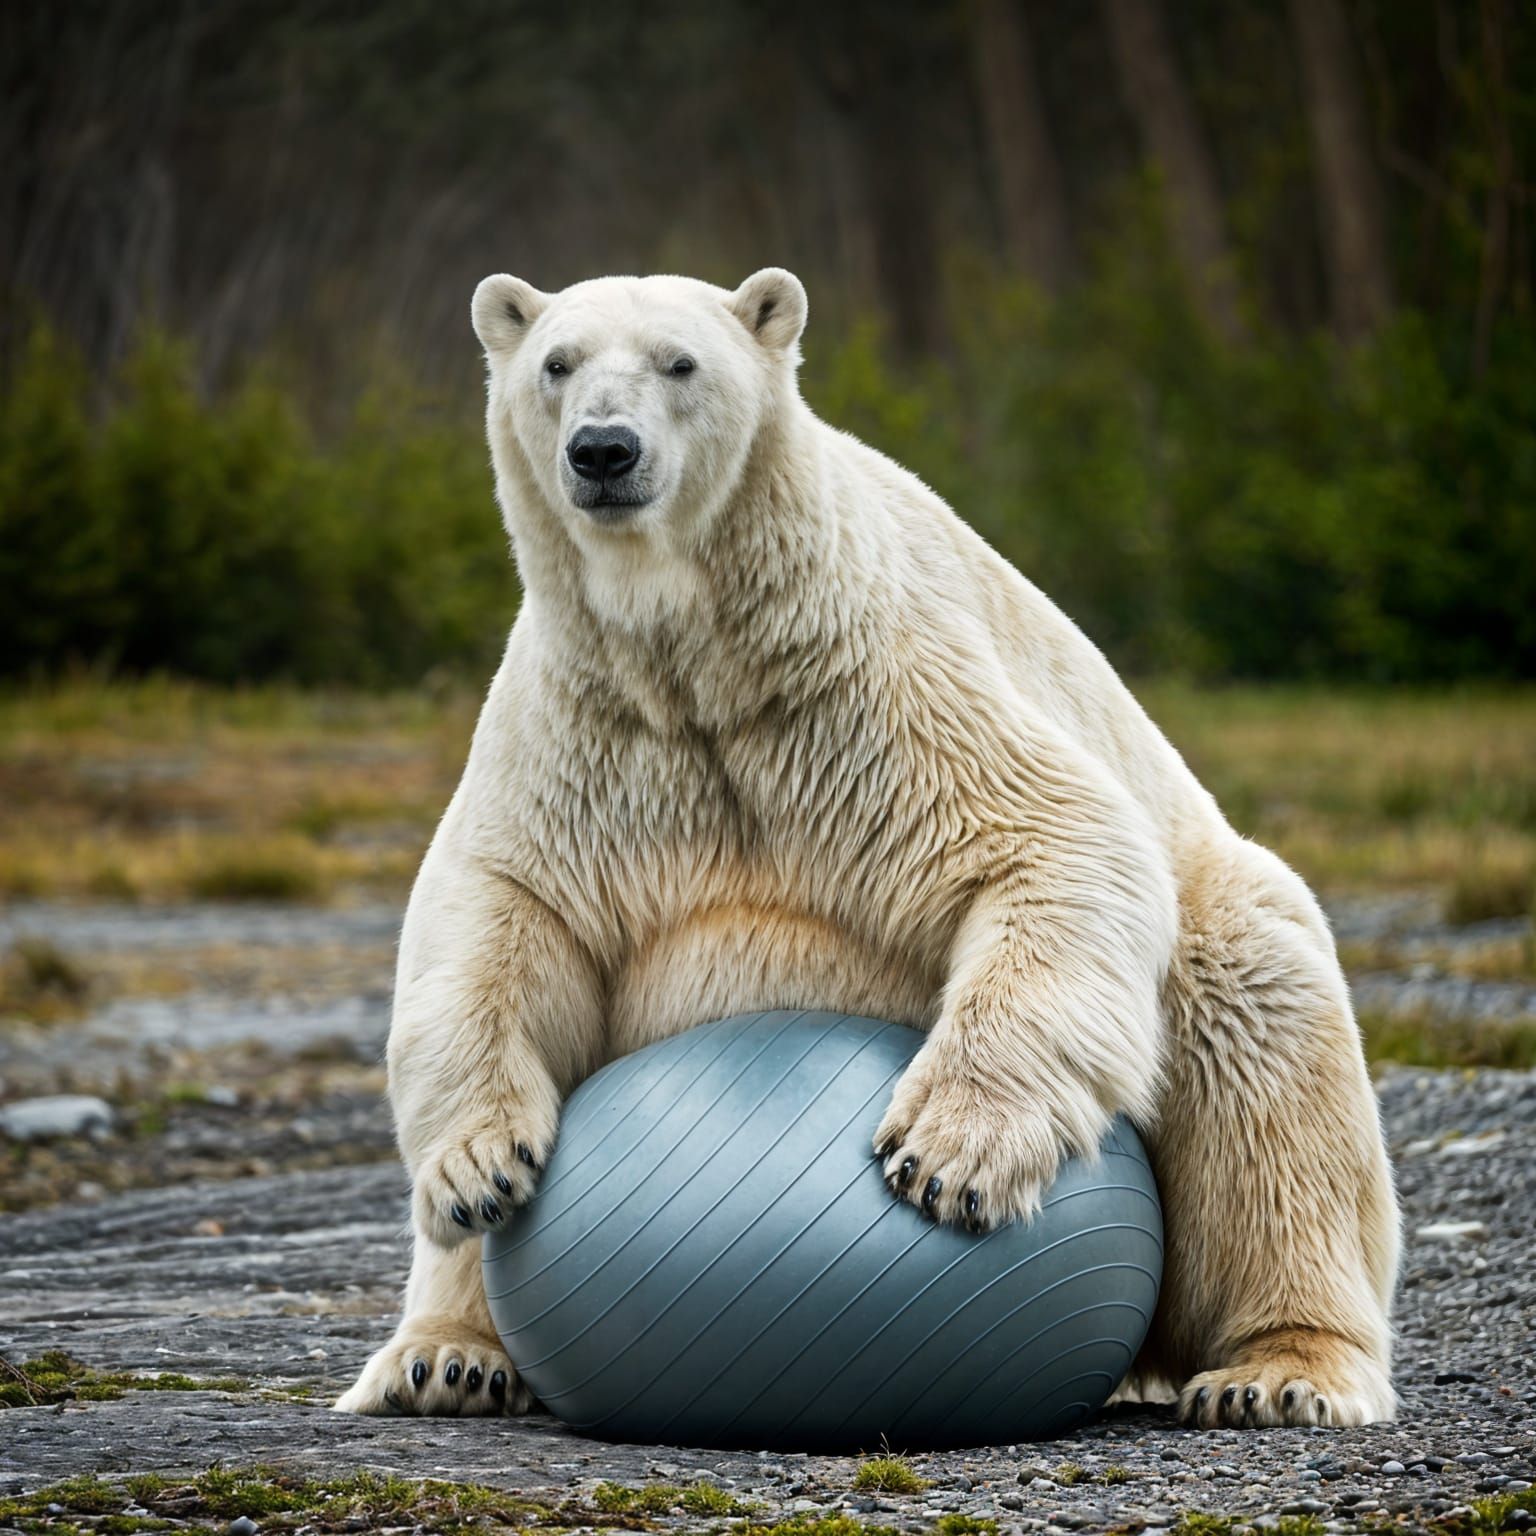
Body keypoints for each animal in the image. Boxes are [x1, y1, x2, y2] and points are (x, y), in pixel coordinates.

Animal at [335, 268, 1399, 1428]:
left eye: (679, 362)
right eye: (556, 365)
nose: (603, 452)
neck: (698, 657)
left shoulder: (867, 680)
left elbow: (1051, 837)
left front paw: (946, 1158)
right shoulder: (586, 739)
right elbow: (496, 915)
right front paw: (478, 1166)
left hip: (1223, 921)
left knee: (1260, 1048)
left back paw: (1278, 1371)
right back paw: (445, 1359)